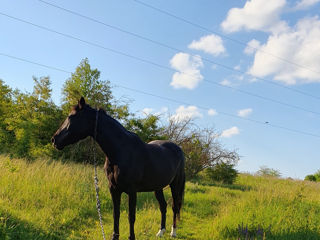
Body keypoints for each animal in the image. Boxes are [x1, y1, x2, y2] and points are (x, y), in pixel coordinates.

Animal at [52, 97, 185, 238]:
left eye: (71, 116)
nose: (54, 140)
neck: (121, 151)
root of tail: (178, 149)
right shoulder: (114, 189)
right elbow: (116, 215)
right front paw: (114, 236)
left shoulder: (132, 191)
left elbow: (131, 217)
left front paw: (131, 237)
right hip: (157, 186)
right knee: (163, 206)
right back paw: (161, 231)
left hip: (175, 185)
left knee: (175, 206)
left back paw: (173, 232)